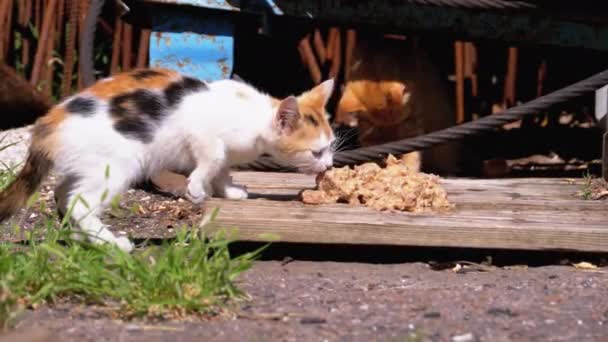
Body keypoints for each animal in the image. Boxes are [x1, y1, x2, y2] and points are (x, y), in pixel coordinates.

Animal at [0, 69, 334, 251]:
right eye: (316, 152)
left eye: (331, 147)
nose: (329, 165)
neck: (253, 115)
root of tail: (47, 124)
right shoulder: (200, 131)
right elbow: (213, 158)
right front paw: (197, 189)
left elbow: (223, 167)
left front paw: (230, 191)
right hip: (119, 164)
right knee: (80, 203)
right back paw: (113, 244)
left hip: (89, 164)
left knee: (64, 193)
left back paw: (83, 238)